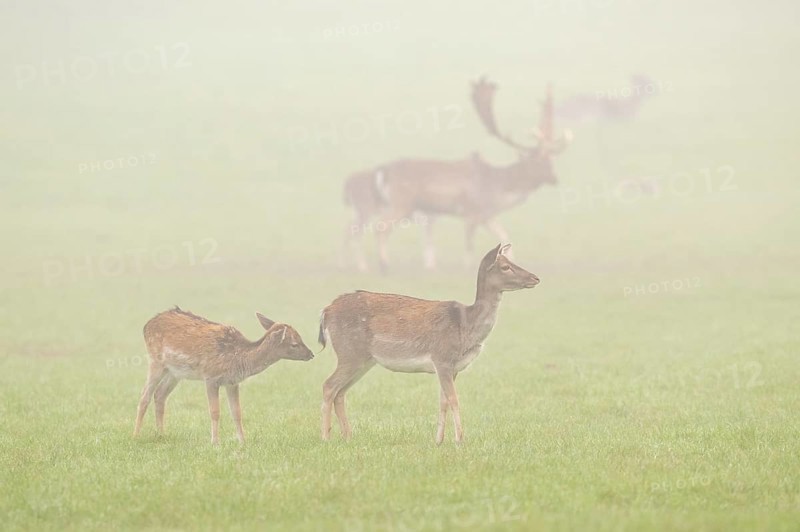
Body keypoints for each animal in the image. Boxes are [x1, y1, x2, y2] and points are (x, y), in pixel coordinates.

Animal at [133, 306, 314, 444]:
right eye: (294, 343)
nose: (311, 354)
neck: (238, 358)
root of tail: (145, 326)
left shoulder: (232, 382)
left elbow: (237, 412)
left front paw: (242, 441)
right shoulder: (211, 377)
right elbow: (215, 411)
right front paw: (215, 442)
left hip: (175, 372)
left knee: (160, 394)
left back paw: (161, 434)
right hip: (156, 361)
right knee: (144, 395)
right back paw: (136, 435)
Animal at [319, 243, 539, 444]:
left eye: (511, 261)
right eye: (505, 266)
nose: (535, 278)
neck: (466, 326)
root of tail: (326, 311)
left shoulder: (452, 368)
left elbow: (443, 401)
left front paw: (439, 440)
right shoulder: (442, 358)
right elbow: (454, 399)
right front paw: (460, 440)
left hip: (364, 360)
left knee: (340, 392)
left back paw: (348, 436)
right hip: (350, 352)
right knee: (329, 385)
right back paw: (326, 437)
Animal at [341, 77, 571, 273]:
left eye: (551, 160)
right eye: (538, 162)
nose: (554, 179)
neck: (499, 189)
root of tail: (384, 170)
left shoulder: (487, 215)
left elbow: (503, 235)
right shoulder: (472, 211)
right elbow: (469, 243)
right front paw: (467, 267)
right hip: (401, 203)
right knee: (379, 228)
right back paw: (383, 265)